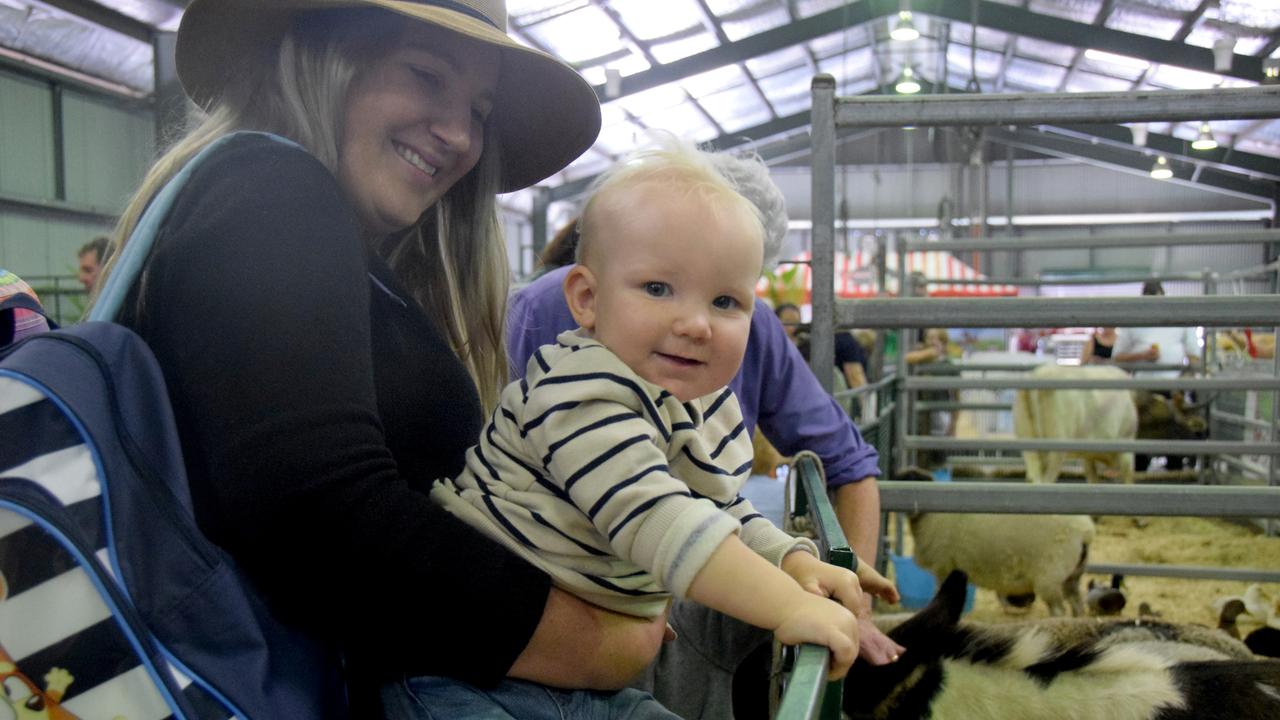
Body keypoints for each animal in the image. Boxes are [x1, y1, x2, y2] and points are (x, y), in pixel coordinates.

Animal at [906, 507, 1095, 614]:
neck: (927, 519)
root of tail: (1085, 532)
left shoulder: (943, 566)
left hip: (1050, 576)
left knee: (1058, 610)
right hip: (1072, 576)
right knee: (1077, 606)